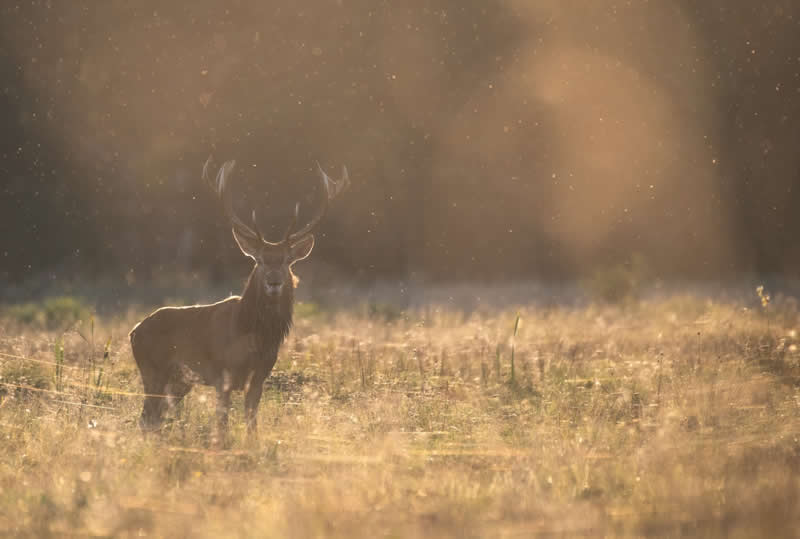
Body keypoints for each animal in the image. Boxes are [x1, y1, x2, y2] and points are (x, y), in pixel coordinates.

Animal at [129, 157, 348, 438]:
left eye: (287, 261)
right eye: (260, 260)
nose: (274, 281)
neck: (255, 338)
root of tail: (134, 330)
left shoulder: (261, 374)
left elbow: (251, 420)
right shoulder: (223, 374)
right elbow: (222, 422)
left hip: (178, 381)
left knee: (155, 418)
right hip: (153, 370)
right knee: (146, 418)